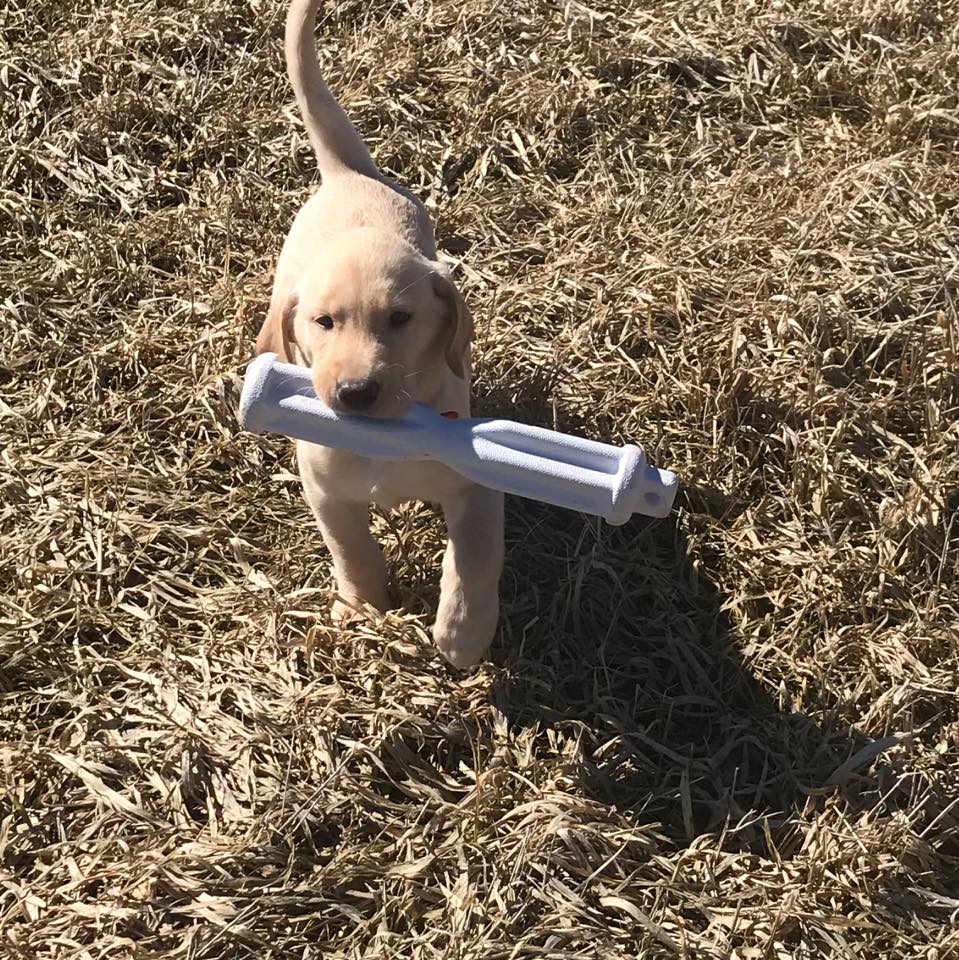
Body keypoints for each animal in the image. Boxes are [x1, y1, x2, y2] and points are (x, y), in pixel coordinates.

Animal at [258, 0, 506, 668]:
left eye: (401, 319)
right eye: (323, 323)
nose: (355, 393)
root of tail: (347, 175)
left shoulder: (476, 486)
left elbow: (474, 561)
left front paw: (461, 633)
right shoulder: (325, 491)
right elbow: (354, 550)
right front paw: (360, 607)